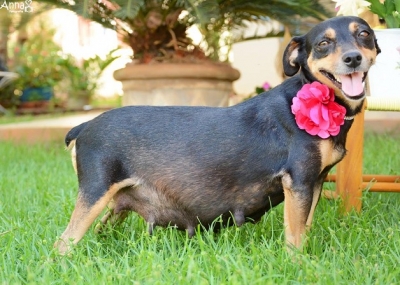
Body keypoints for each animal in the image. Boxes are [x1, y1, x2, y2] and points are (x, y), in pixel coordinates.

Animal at [54, 16, 380, 253]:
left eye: (364, 34)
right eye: (324, 43)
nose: (353, 58)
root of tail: (84, 126)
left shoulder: (315, 182)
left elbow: (306, 227)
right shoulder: (298, 181)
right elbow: (295, 236)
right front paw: (297, 265)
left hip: (115, 205)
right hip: (95, 192)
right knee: (62, 243)